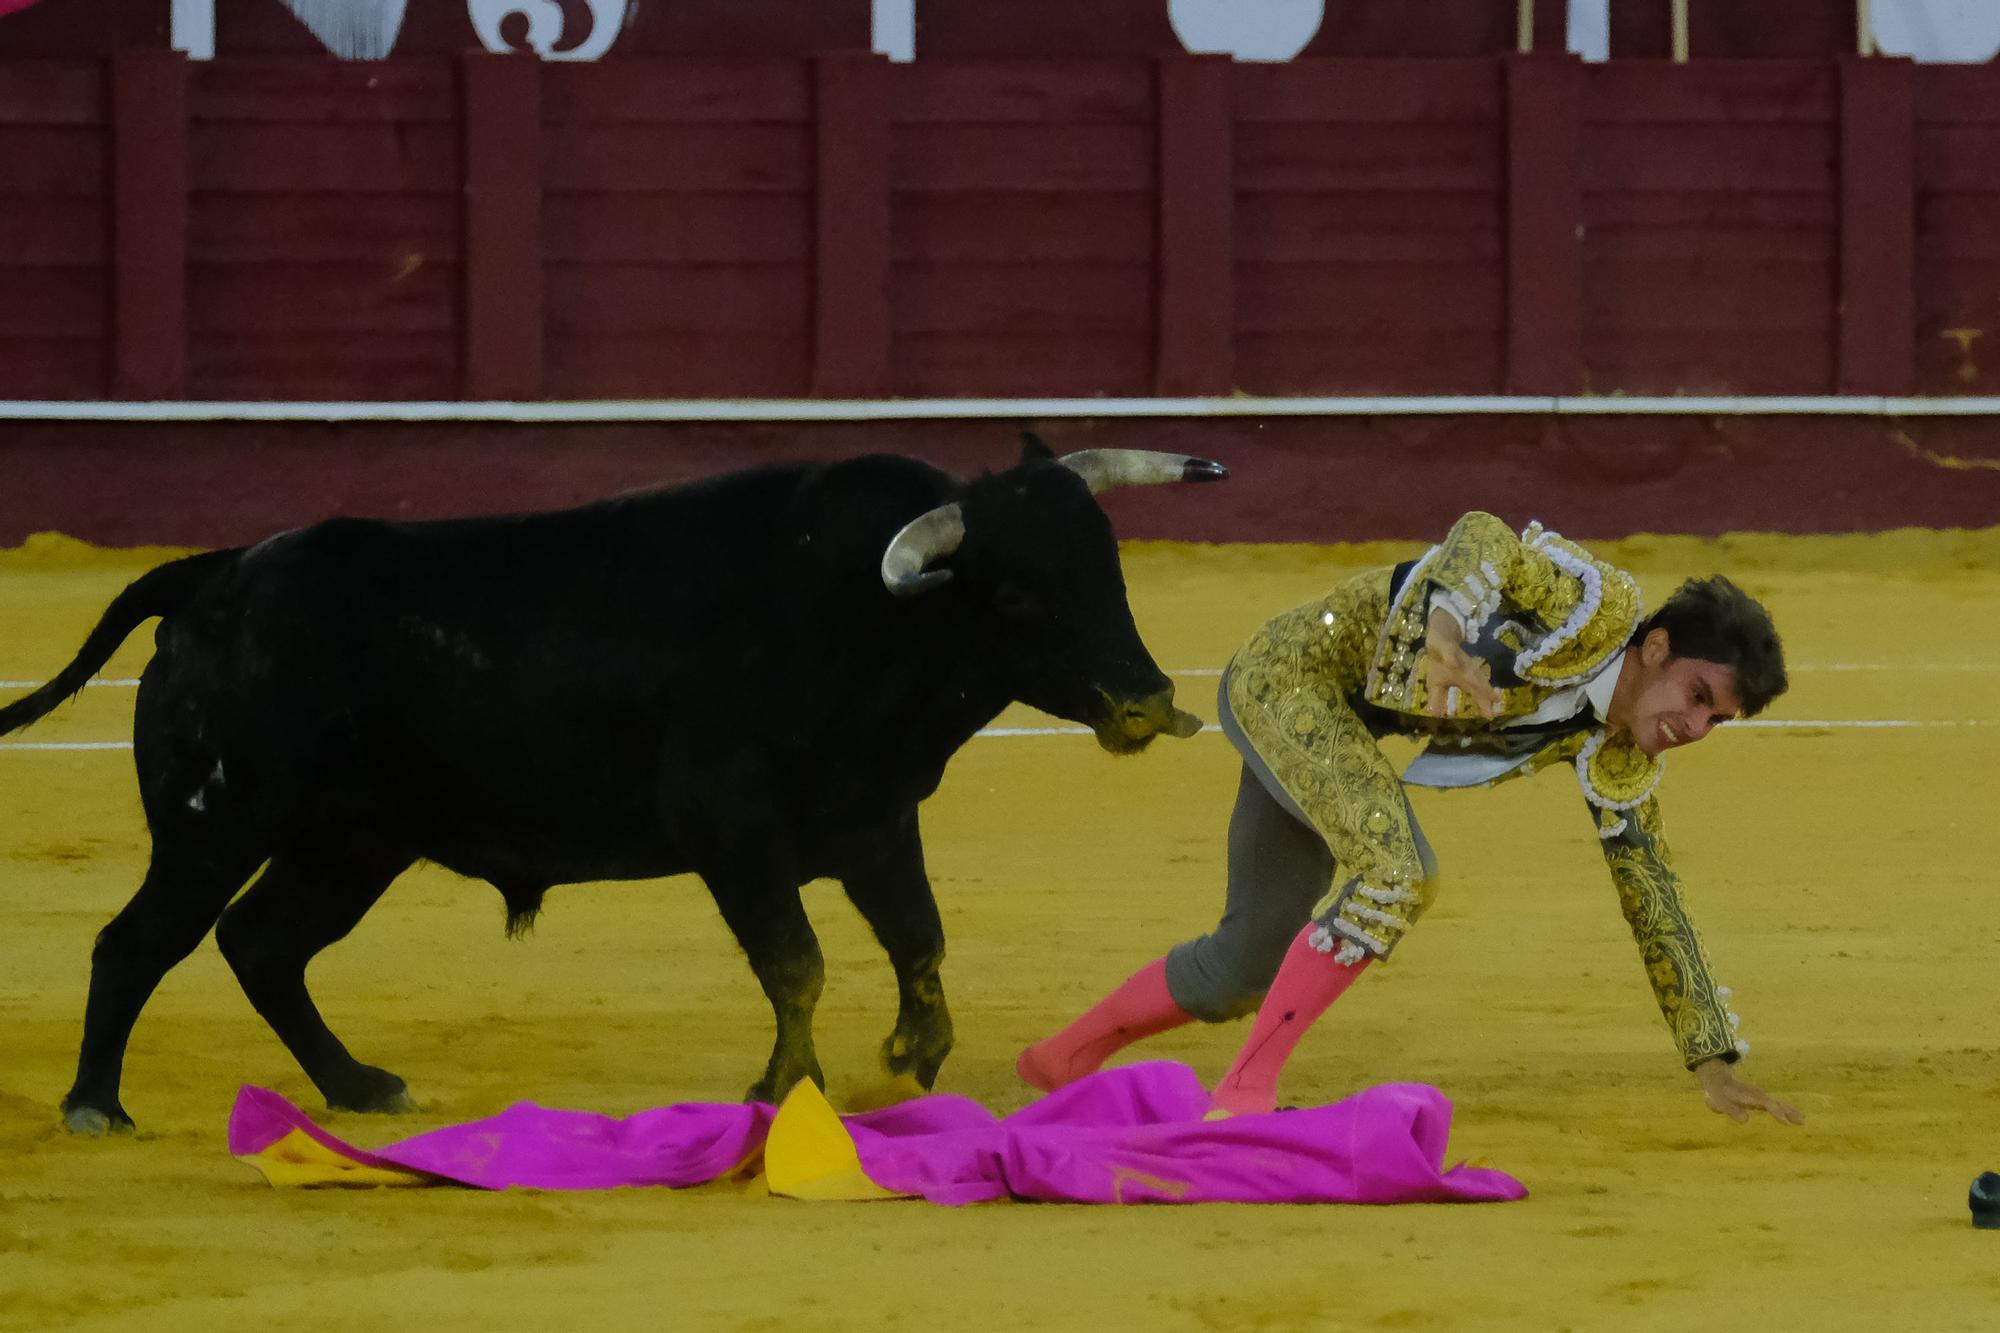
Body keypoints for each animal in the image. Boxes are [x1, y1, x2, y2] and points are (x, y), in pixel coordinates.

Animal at [0, 436, 1224, 1128]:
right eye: (1014, 592)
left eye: (1107, 566)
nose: (1142, 700)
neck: (859, 612)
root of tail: (219, 574)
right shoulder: (732, 829)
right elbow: (796, 961)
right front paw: (779, 1090)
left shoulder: (874, 821)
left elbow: (916, 939)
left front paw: (909, 1059)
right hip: (216, 822)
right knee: (138, 941)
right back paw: (96, 1105)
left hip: (353, 841)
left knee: (262, 943)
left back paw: (360, 1089)